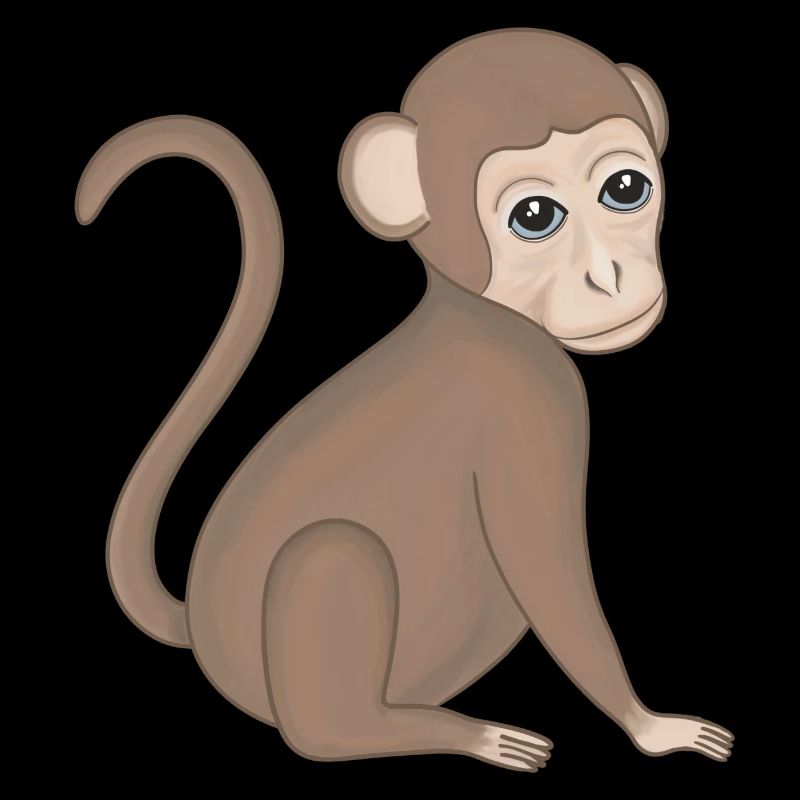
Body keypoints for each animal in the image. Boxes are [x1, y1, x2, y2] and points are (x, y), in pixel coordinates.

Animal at [76, 29, 733, 772]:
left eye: (626, 188)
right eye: (535, 216)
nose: (609, 277)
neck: (480, 314)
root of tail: (195, 620)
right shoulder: (528, 406)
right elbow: (549, 575)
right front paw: (651, 727)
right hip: (312, 617)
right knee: (331, 594)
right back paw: (459, 733)